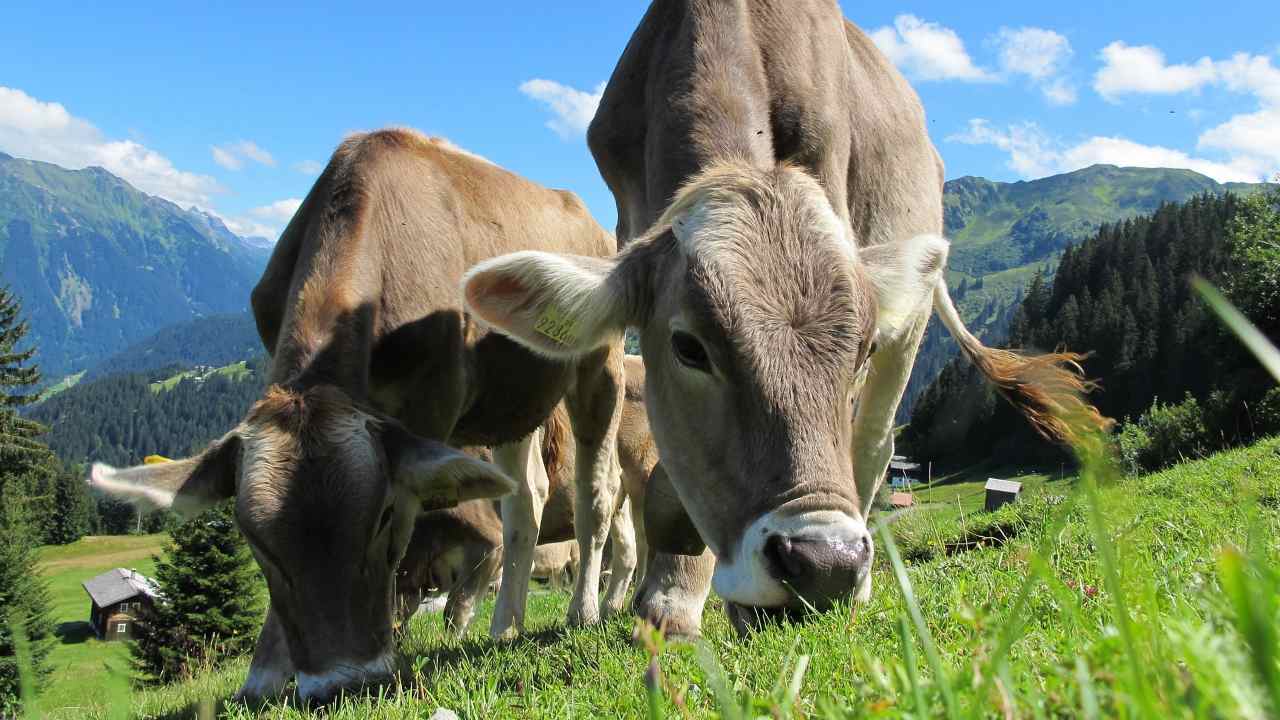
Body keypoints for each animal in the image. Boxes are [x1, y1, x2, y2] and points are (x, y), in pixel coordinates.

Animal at [85, 126, 624, 696]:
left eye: (383, 515)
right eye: (253, 539)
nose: (343, 683)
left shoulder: (429, 407)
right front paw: (266, 673)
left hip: (600, 363)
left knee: (597, 490)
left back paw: (584, 611)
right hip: (512, 400)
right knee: (527, 498)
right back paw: (506, 625)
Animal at [399, 353, 660, 632]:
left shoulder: (488, 540)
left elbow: (456, 608)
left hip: (643, 475)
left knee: (645, 539)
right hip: (620, 501)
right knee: (627, 548)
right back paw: (611, 607)